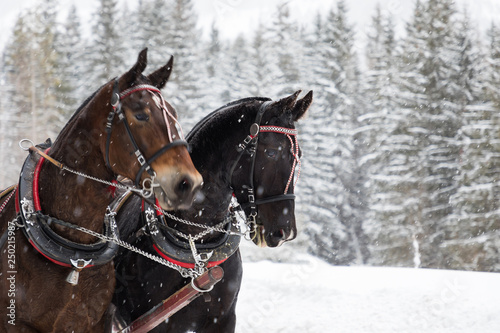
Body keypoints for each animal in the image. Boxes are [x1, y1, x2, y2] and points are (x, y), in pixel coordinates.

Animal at [112, 89, 312, 330]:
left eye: (299, 156)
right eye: (272, 152)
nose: (286, 232)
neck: (198, 248)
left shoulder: (223, 319)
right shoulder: (151, 322)